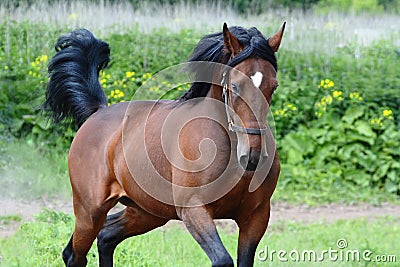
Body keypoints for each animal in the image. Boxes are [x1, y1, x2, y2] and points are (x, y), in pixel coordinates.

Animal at [44, 22, 284, 267]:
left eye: (273, 86)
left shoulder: (256, 217)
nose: (253, 155)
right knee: (74, 254)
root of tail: (98, 112)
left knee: (106, 236)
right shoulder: (193, 210)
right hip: (90, 211)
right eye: (235, 87)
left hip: (147, 212)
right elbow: (223, 260)